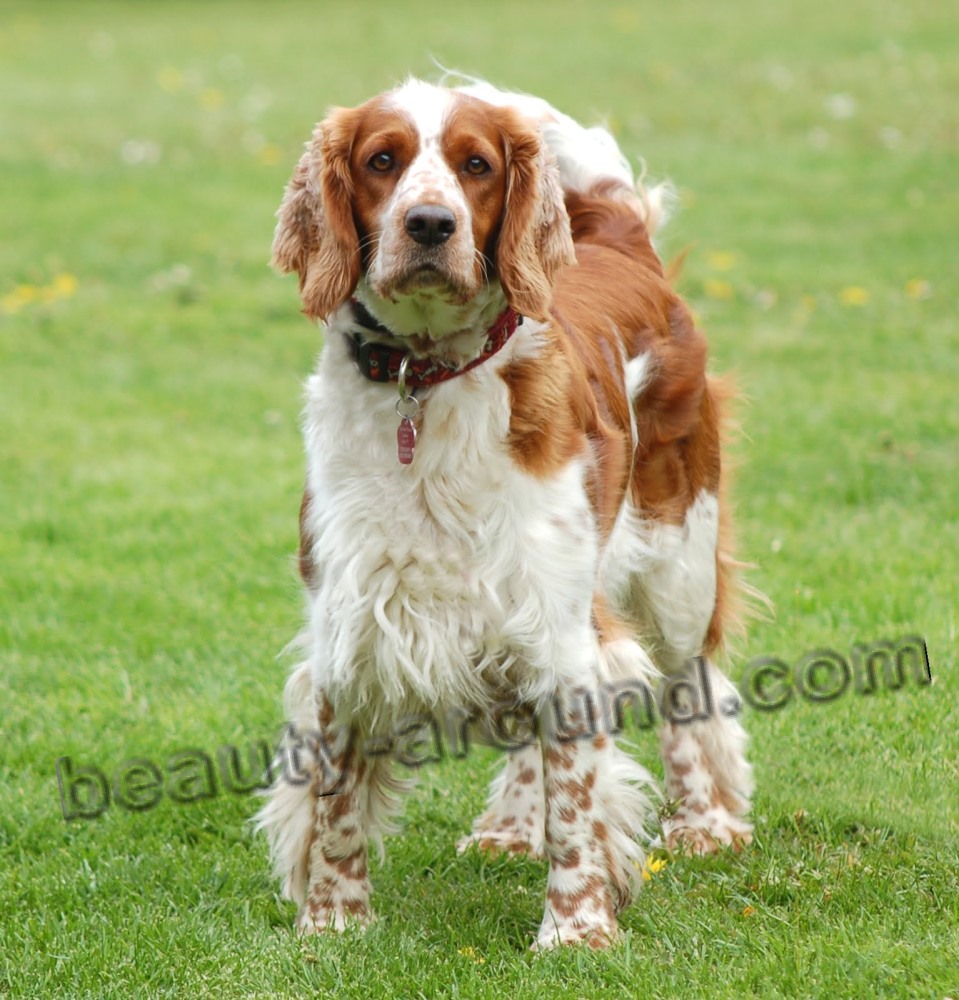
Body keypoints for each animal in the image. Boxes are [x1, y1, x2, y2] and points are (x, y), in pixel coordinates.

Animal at [258, 76, 752, 944]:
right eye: (381, 160)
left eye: (476, 165)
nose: (429, 224)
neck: (425, 382)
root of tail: (619, 238)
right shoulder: (353, 626)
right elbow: (336, 801)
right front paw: (332, 924)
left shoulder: (562, 623)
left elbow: (579, 803)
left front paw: (577, 934)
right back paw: (512, 829)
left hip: (677, 563)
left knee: (688, 687)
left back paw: (703, 823)